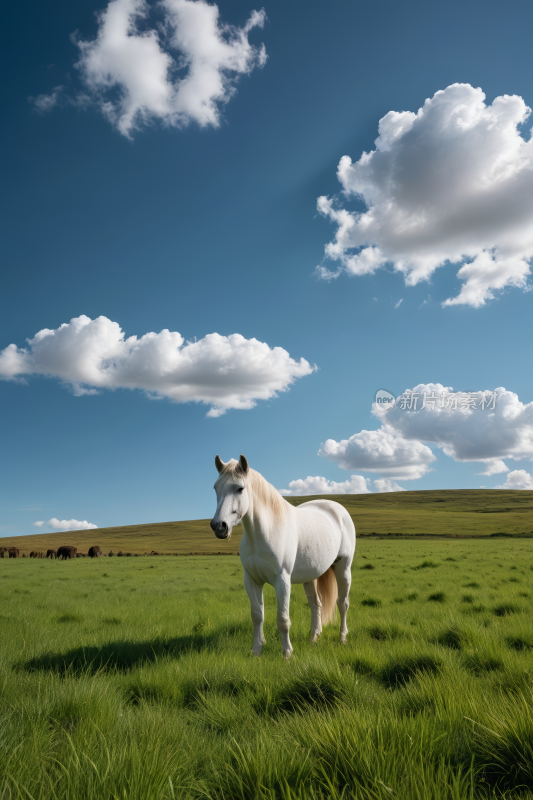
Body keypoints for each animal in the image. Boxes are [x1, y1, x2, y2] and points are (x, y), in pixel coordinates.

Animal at [210, 454, 356, 660]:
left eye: (240, 488)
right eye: (216, 488)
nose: (219, 526)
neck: (264, 532)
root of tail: (338, 510)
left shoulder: (282, 581)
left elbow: (283, 619)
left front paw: (287, 653)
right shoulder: (252, 580)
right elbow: (257, 616)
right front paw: (256, 650)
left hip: (343, 568)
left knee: (342, 604)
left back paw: (342, 638)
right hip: (310, 576)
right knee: (316, 604)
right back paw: (314, 638)